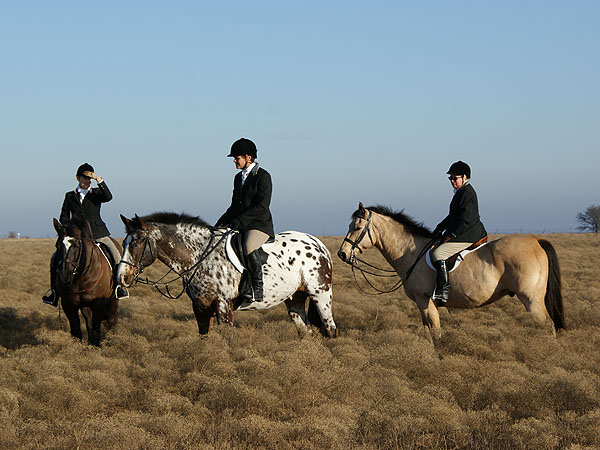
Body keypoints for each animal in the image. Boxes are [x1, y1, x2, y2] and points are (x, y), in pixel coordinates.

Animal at [116, 212, 337, 338]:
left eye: (136, 243)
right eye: (125, 242)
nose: (121, 278)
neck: (201, 256)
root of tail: (318, 244)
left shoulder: (224, 307)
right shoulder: (201, 309)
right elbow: (204, 340)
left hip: (321, 295)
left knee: (330, 329)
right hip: (295, 299)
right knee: (305, 332)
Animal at [338, 203, 564, 342]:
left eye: (356, 227)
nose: (342, 253)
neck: (410, 252)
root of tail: (536, 240)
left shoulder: (425, 300)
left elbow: (436, 333)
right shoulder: (421, 304)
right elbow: (428, 333)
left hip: (531, 299)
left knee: (548, 326)